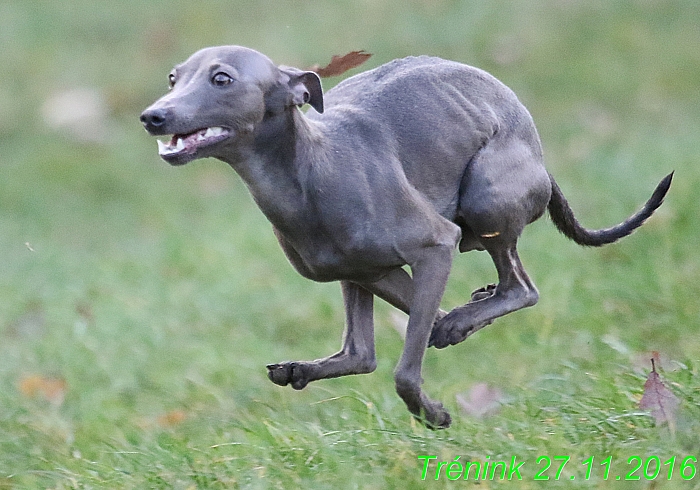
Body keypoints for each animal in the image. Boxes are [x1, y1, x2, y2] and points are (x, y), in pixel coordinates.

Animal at [141, 47, 672, 428]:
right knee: (366, 349)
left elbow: (406, 369)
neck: (310, 169)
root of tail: (540, 159)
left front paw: (433, 412)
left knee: (521, 287)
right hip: (361, 272)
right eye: (173, 78)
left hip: (486, 198)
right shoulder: (370, 270)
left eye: (222, 78)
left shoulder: (435, 245)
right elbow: (378, 347)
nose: (153, 117)